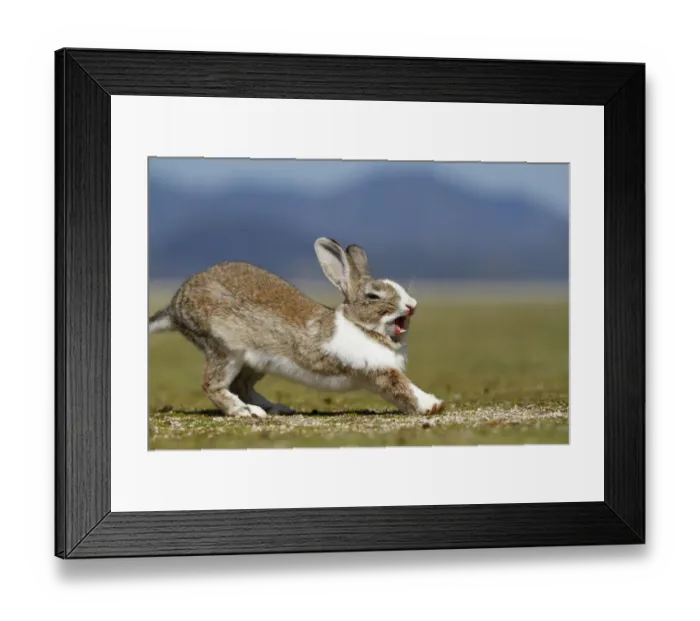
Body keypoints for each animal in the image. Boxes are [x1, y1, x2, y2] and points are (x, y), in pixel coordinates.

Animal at [148, 238, 445, 419]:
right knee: (213, 385)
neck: (361, 327)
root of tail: (175, 306)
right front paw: (433, 405)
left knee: (242, 385)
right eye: (373, 296)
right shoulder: (378, 371)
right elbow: (404, 388)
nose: (411, 305)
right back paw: (246, 412)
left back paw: (275, 407)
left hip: (256, 362)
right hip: (226, 349)